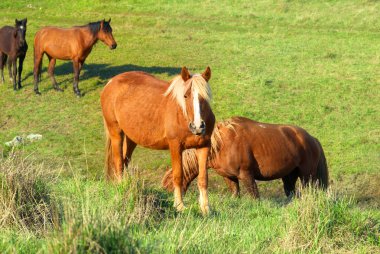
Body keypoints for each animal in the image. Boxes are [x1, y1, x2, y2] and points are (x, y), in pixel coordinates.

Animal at [101, 67, 215, 214]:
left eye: (205, 97)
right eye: (185, 96)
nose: (197, 126)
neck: (182, 115)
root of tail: (110, 83)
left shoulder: (204, 146)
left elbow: (203, 178)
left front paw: (205, 208)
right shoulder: (175, 146)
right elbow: (178, 176)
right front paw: (179, 205)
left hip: (131, 138)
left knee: (125, 161)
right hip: (116, 133)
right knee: (119, 163)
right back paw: (121, 188)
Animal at [162, 116, 328, 198]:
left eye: (170, 187)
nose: (175, 207)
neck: (221, 144)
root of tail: (312, 139)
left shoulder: (246, 175)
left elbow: (255, 197)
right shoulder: (229, 178)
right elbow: (236, 195)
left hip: (307, 176)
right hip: (288, 176)